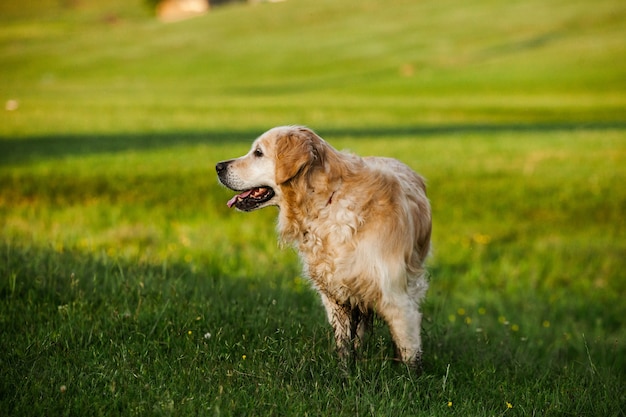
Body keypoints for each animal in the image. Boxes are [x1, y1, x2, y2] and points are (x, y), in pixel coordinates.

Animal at [214, 126, 428, 368]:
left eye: (258, 153)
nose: (218, 167)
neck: (326, 203)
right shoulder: (335, 294)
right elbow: (344, 345)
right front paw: (346, 372)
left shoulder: (396, 296)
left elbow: (408, 349)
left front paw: (408, 376)